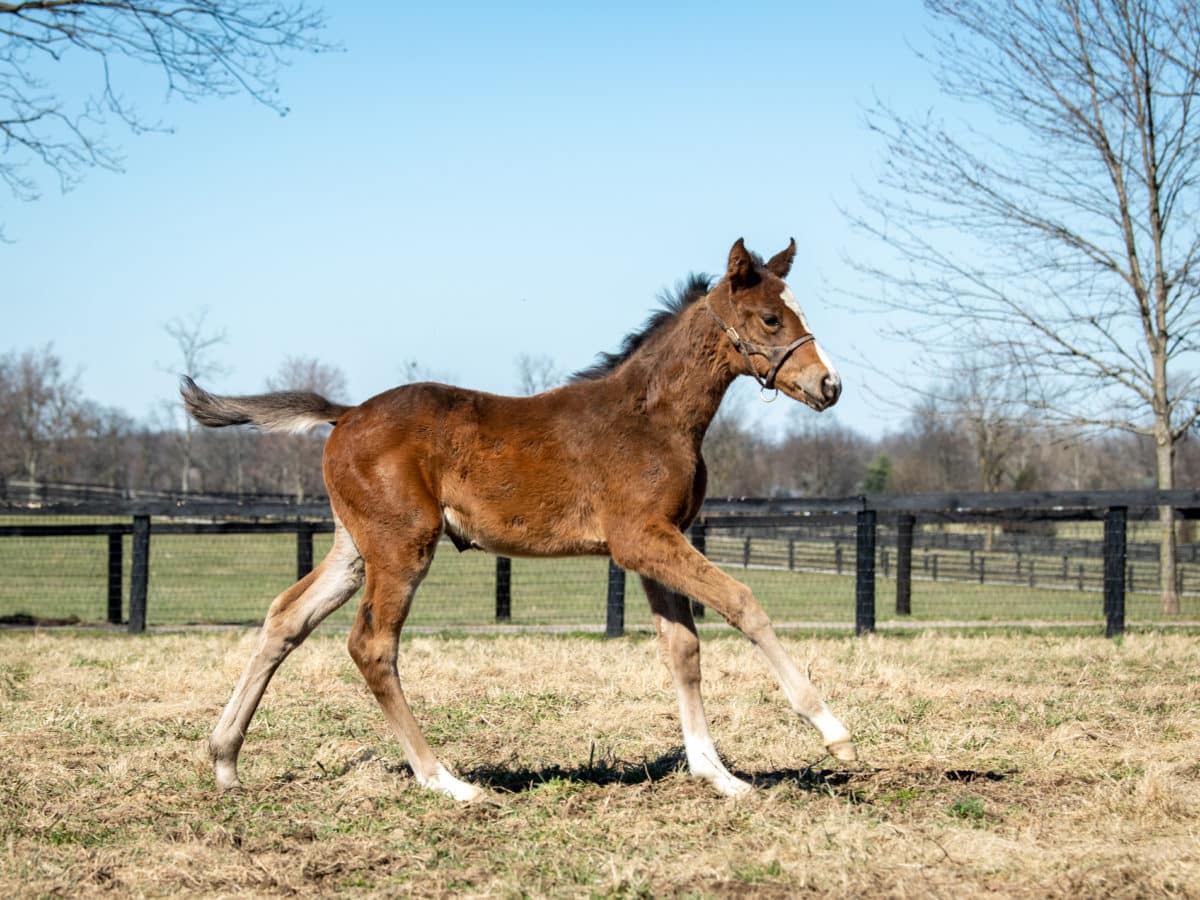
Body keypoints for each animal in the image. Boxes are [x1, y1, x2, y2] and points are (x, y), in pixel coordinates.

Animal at [184, 240, 854, 801]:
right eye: (771, 319)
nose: (830, 385)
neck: (654, 418)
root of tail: (344, 414)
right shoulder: (641, 539)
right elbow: (743, 603)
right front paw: (831, 729)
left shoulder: (658, 543)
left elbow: (683, 649)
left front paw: (719, 776)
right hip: (403, 546)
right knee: (371, 645)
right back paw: (445, 781)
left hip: (355, 548)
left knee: (285, 618)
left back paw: (225, 760)